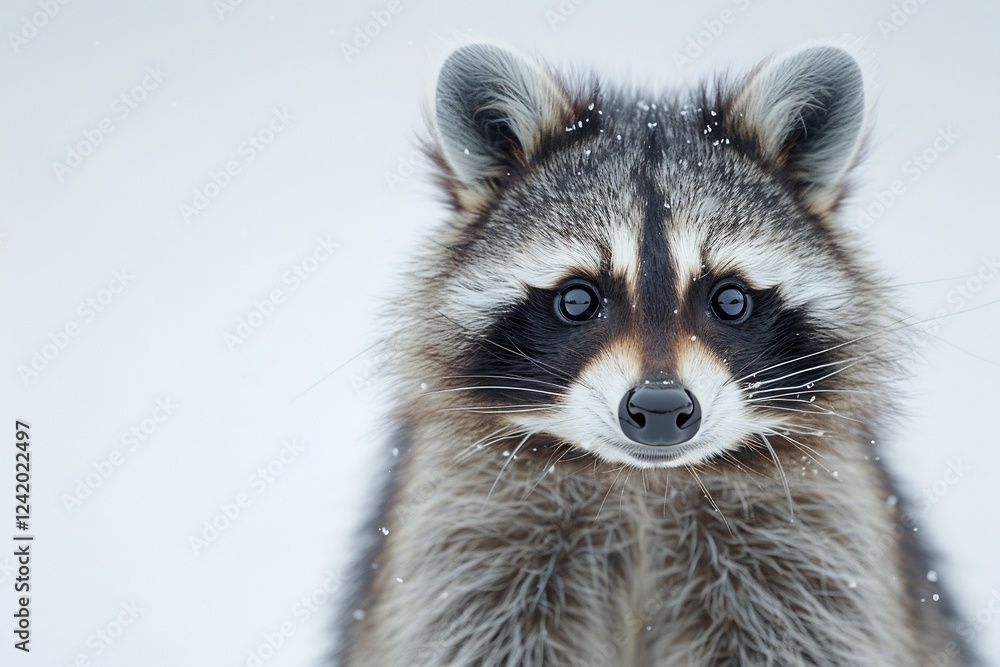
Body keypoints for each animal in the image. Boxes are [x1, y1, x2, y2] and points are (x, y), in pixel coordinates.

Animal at [334, 43, 974, 666]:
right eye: (577, 299)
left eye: (731, 299)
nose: (662, 409)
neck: (643, 486)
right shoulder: (464, 540)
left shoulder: (816, 548)